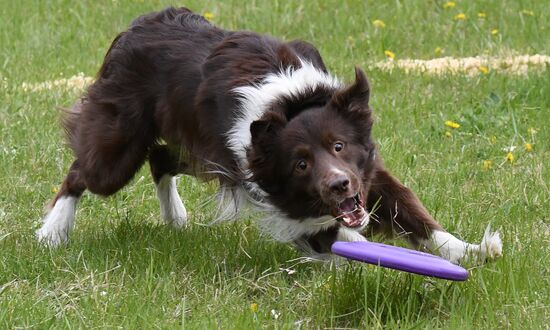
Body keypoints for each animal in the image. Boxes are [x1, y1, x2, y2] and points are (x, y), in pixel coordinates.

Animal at [36, 7, 504, 266]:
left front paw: (472, 251)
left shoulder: (365, 171)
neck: (291, 101)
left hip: (205, 153)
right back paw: (53, 230)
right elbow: (331, 236)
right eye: (300, 163)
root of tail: (135, 27)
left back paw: (175, 216)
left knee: (161, 160)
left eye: (339, 145)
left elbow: (413, 213)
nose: (339, 185)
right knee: (82, 172)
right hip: (119, 146)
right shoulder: (277, 195)